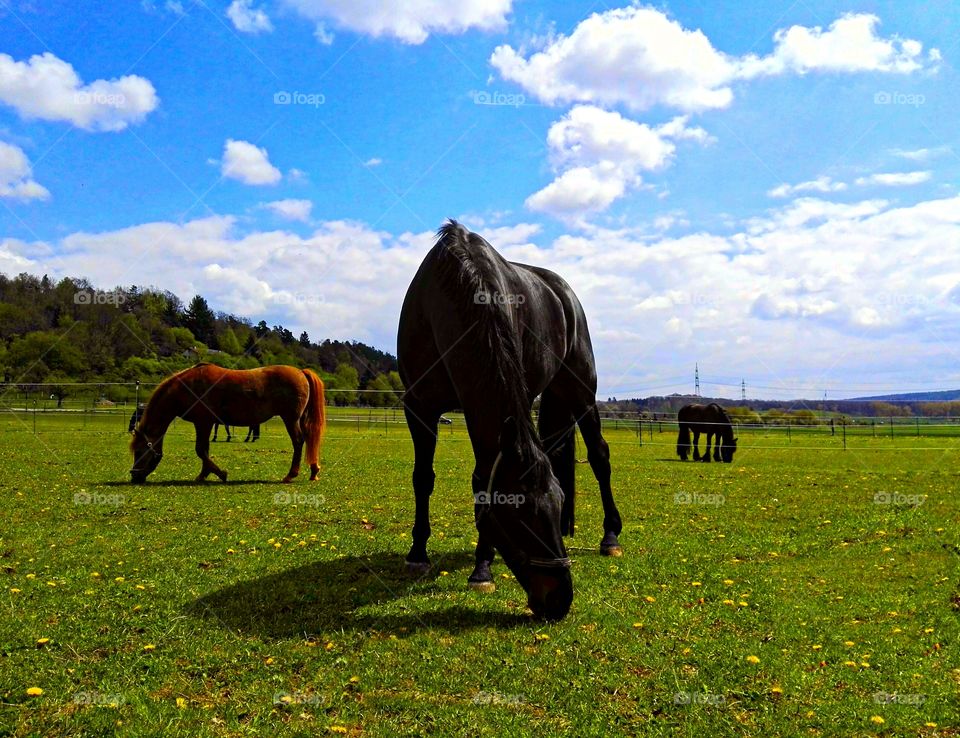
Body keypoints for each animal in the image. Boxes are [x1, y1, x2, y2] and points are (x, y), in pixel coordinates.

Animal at [130, 363, 325, 483]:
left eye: (139, 451)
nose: (134, 476)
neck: (187, 387)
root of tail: (301, 372)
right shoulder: (206, 424)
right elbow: (205, 450)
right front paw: (204, 475)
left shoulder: (203, 423)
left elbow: (200, 450)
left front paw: (220, 474)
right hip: (299, 419)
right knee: (308, 440)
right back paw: (314, 471)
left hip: (290, 419)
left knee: (298, 442)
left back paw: (291, 475)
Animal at [398, 220, 623, 621]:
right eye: (519, 514)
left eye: (554, 502)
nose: (559, 600)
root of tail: (563, 293)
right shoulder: (419, 407)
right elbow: (423, 478)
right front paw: (418, 554)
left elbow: (479, 478)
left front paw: (482, 567)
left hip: (581, 392)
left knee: (599, 456)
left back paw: (610, 536)